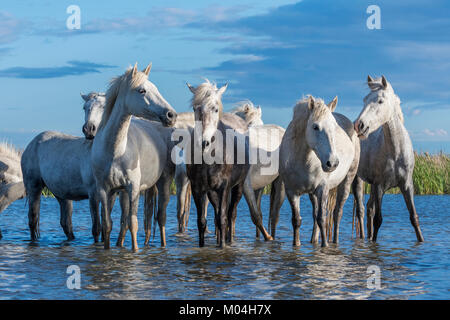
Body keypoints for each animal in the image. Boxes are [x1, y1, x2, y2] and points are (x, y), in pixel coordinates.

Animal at [90, 62, 177, 251]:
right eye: (141, 90)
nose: (171, 115)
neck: (115, 151)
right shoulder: (104, 190)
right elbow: (107, 224)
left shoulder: (134, 188)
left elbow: (133, 223)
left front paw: (135, 251)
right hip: (121, 193)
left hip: (164, 182)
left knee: (161, 218)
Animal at [280, 96, 360, 246]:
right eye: (315, 127)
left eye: (334, 127)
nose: (332, 163)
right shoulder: (292, 192)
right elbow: (297, 220)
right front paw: (296, 245)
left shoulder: (323, 188)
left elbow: (322, 219)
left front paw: (325, 246)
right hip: (313, 194)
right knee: (315, 214)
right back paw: (313, 240)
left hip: (347, 181)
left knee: (337, 214)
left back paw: (335, 241)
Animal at [354, 76, 424, 242]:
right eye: (365, 100)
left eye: (380, 101)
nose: (359, 125)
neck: (396, 152)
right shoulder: (380, 186)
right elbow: (378, 219)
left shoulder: (407, 185)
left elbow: (414, 217)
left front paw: (422, 241)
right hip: (357, 181)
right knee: (361, 210)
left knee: (368, 208)